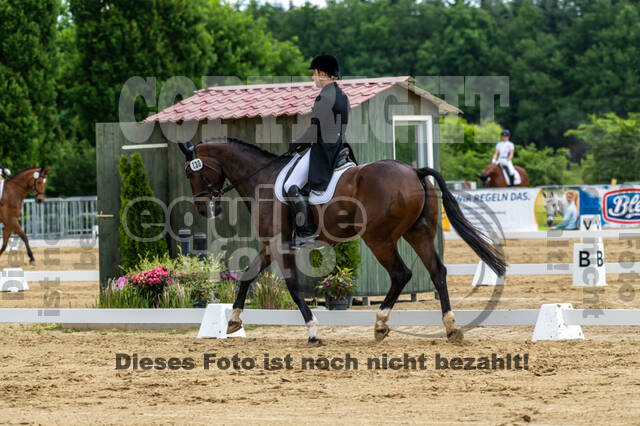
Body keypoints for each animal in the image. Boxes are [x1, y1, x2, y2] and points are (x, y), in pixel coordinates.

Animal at [178, 138, 506, 345]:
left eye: (191, 173)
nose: (204, 208)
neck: (264, 178)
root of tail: (414, 170)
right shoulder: (271, 244)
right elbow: (247, 276)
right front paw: (233, 322)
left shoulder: (280, 244)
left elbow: (293, 287)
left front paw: (313, 333)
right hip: (418, 233)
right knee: (437, 272)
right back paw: (450, 328)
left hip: (378, 238)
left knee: (401, 274)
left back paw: (380, 324)